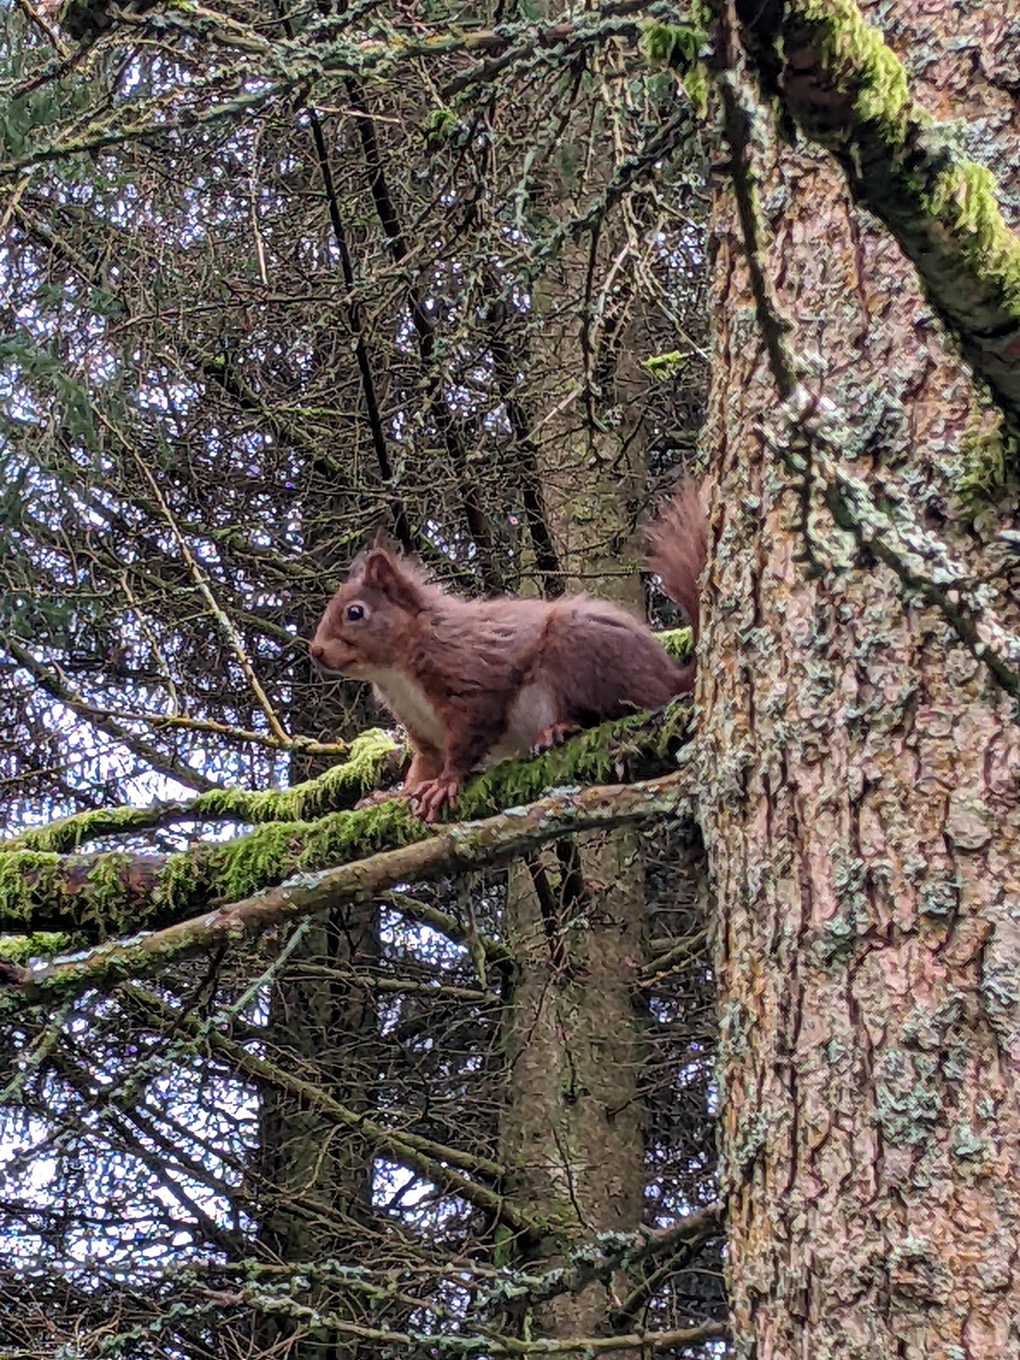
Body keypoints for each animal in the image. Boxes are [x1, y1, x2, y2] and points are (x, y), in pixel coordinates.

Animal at [311, 478, 707, 816]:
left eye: (355, 612)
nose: (315, 652)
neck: (394, 671)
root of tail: (669, 676)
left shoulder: (470, 679)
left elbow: (469, 736)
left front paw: (445, 783)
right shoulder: (422, 731)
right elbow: (422, 766)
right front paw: (392, 795)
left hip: (582, 650)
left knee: (619, 705)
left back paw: (559, 729)